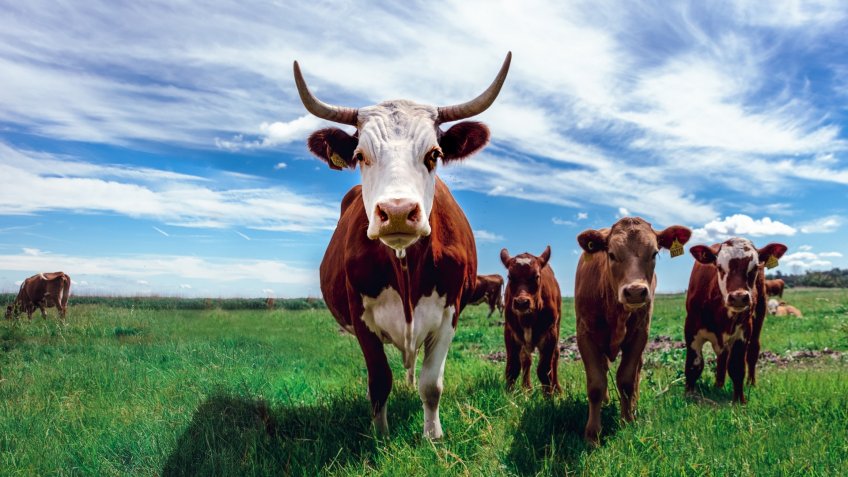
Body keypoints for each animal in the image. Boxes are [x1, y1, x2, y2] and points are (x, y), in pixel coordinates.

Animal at [295, 53, 511, 438]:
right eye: (361, 155)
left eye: (434, 154)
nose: (396, 212)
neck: (406, 266)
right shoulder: (360, 317)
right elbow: (380, 380)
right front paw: (380, 435)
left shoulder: (450, 313)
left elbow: (431, 384)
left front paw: (433, 435)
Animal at [500, 246, 561, 395]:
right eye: (510, 277)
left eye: (536, 276)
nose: (522, 302)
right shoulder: (510, 332)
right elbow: (512, 368)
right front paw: (509, 395)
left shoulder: (550, 334)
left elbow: (544, 371)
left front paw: (549, 396)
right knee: (526, 359)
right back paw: (526, 388)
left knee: (555, 356)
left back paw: (557, 389)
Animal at [575, 217, 691, 445]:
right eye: (611, 254)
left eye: (654, 253)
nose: (636, 291)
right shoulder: (585, 334)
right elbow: (596, 383)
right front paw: (592, 433)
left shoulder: (640, 334)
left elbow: (627, 380)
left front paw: (627, 421)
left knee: (636, 371)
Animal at [685, 238, 788, 403]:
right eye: (719, 267)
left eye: (754, 268)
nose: (739, 297)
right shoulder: (691, 329)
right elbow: (694, 365)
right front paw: (688, 395)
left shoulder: (743, 332)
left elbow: (737, 367)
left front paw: (739, 400)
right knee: (722, 357)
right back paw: (718, 385)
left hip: (759, 313)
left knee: (752, 351)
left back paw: (751, 383)